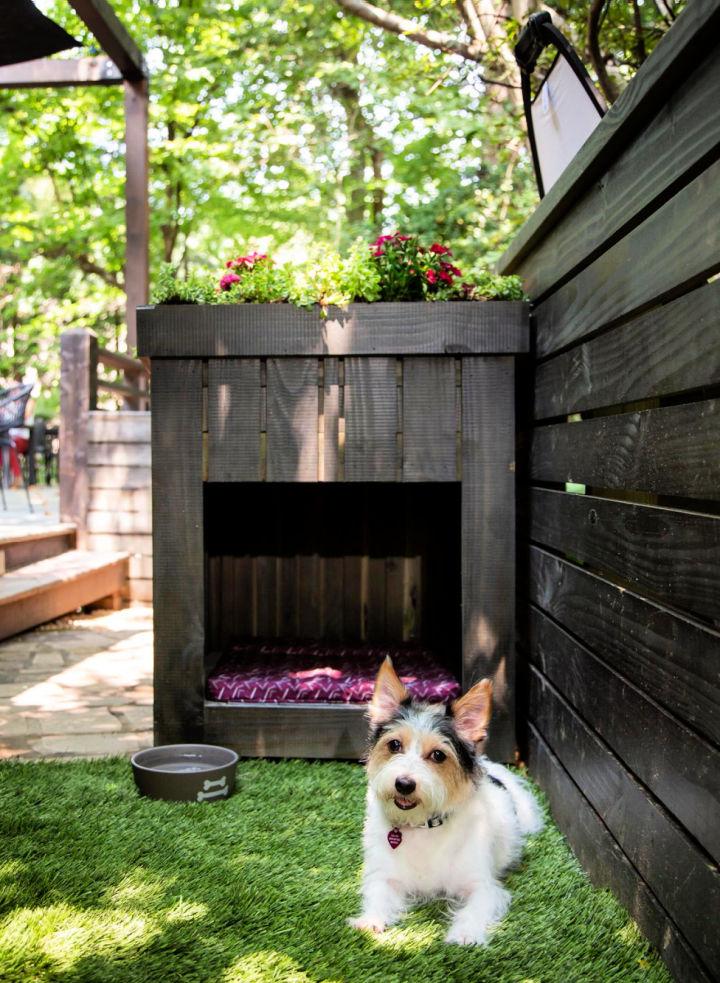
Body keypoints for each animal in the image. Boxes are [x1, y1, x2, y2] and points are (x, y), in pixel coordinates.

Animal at [348, 656, 540, 948]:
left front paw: (466, 933)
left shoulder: (483, 886)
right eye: (394, 745)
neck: (423, 826)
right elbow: (379, 895)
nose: (404, 784)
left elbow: (475, 907)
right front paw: (370, 921)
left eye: (438, 755)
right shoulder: (384, 876)